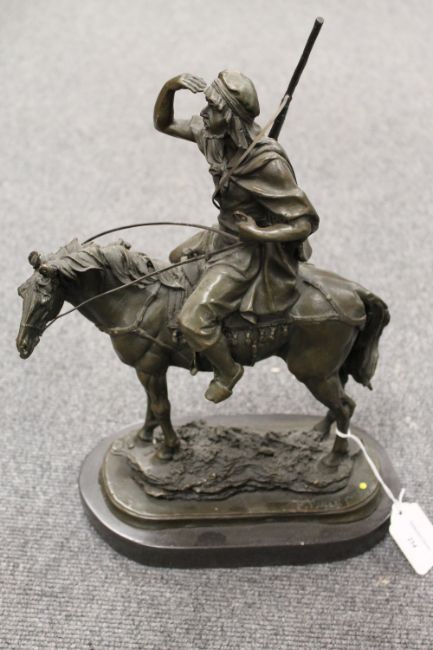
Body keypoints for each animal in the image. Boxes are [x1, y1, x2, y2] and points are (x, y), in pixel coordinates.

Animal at [16, 238, 390, 460]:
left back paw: (334, 457)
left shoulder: (150, 367)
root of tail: (355, 291)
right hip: (326, 370)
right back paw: (319, 435)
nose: (22, 345)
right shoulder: (151, 369)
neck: (135, 297)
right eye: (21, 292)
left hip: (312, 372)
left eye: (45, 297)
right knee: (342, 402)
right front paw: (143, 438)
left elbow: (162, 408)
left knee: (345, 406)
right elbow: (151, 407)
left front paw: (168, 449)